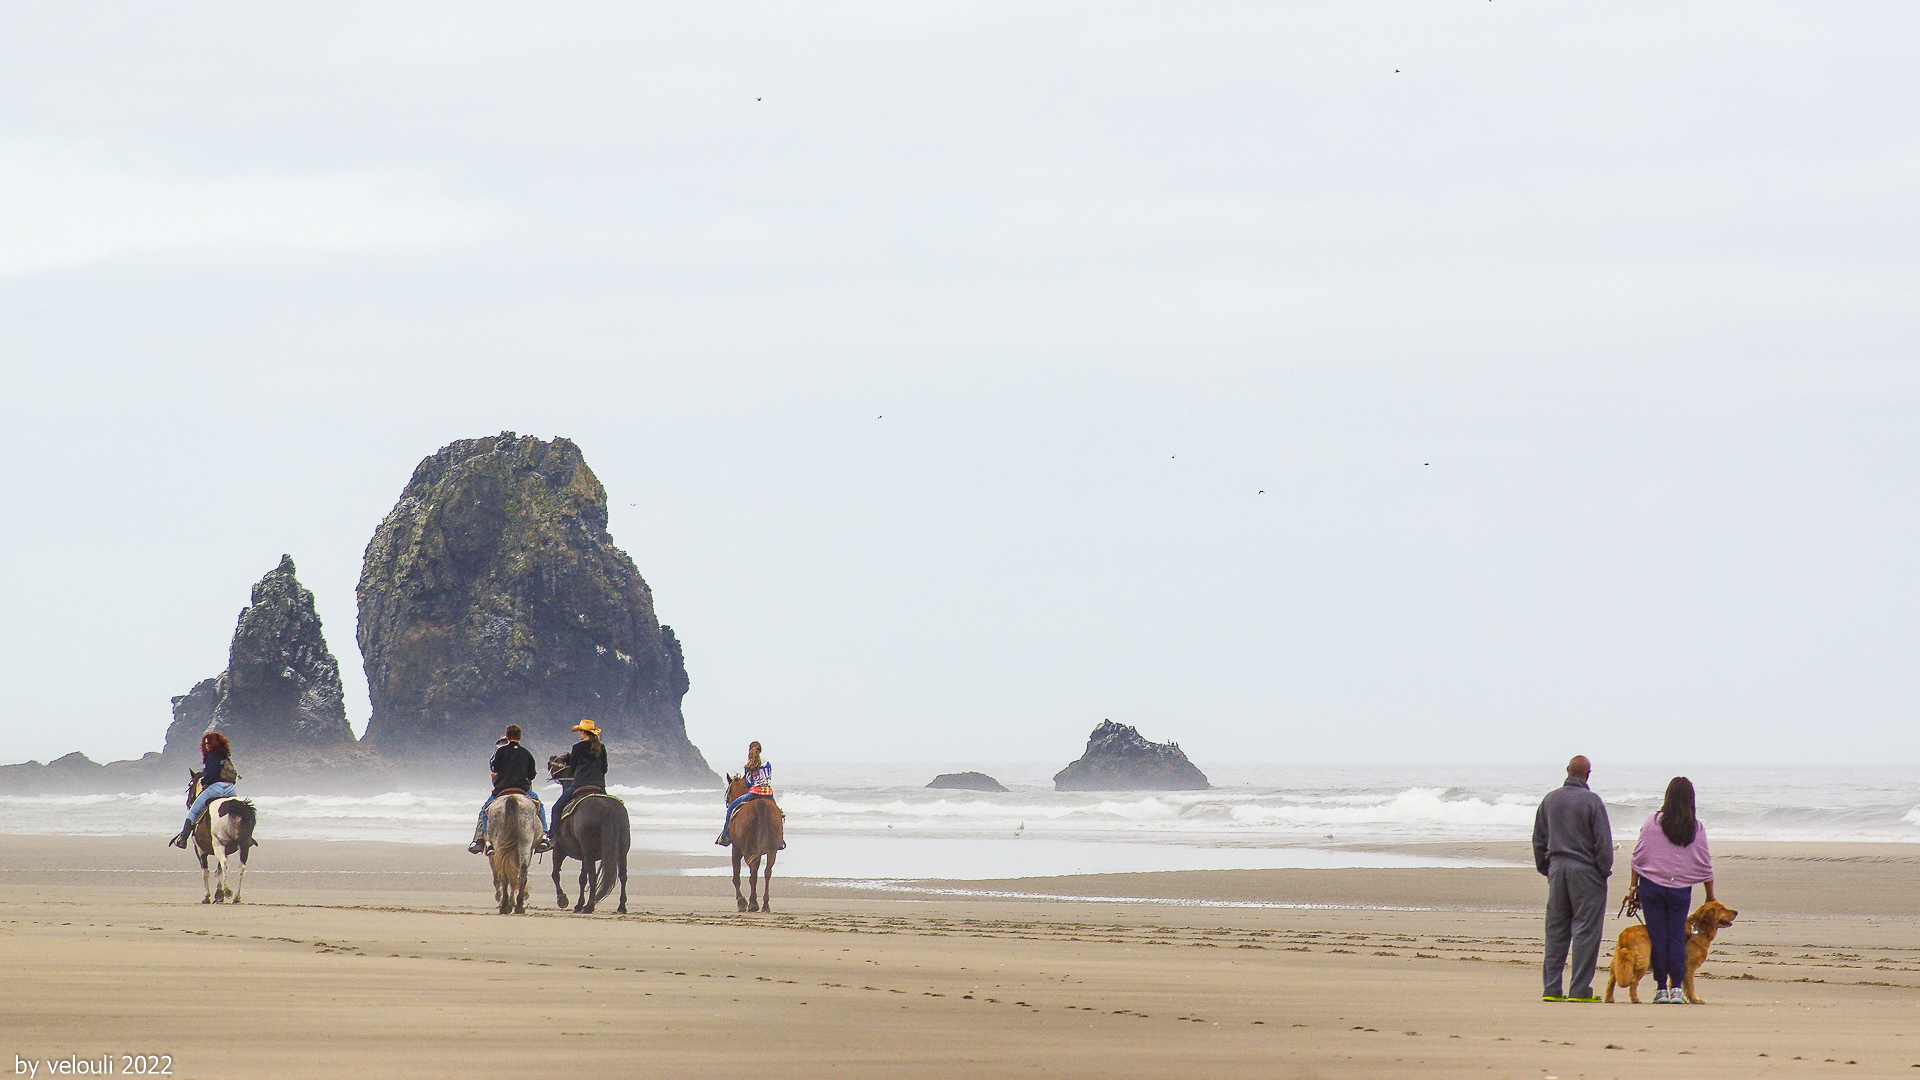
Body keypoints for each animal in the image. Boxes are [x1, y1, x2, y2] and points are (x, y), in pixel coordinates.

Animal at [181, 764, 257, 899]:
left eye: (190, 785)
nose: (188, 803)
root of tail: (232, 804)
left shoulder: (200, 850)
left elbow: (206, 871)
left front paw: (208, 896)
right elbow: (218, 870)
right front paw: (218, 893)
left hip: (219, 844)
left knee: (224, 863)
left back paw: (227, 890)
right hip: (243, 846)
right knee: (241, 867)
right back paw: (236, 897)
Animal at [549, 753, 629, 910]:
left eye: (559, 760)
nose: (550, 760)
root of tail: (606, 808)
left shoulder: (559, 849)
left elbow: (556, 874)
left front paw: (563, 898)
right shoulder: (584, 855)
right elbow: (582, 878)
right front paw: (579, 903)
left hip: (588, 850)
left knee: (593, 876)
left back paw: (590, 906)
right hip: (622, 849)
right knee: (622, 875)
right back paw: (621, 906)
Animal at [721, 768, 779, 910]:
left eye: (727, 795)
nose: (728, 804)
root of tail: (760, 803)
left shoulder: (736, 848)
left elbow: (736, 875)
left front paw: (741, 901)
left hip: (748, 848)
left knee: (753, 871)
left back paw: (753, 903)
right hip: (772, 849)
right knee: (767, 872)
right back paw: (765, 904)